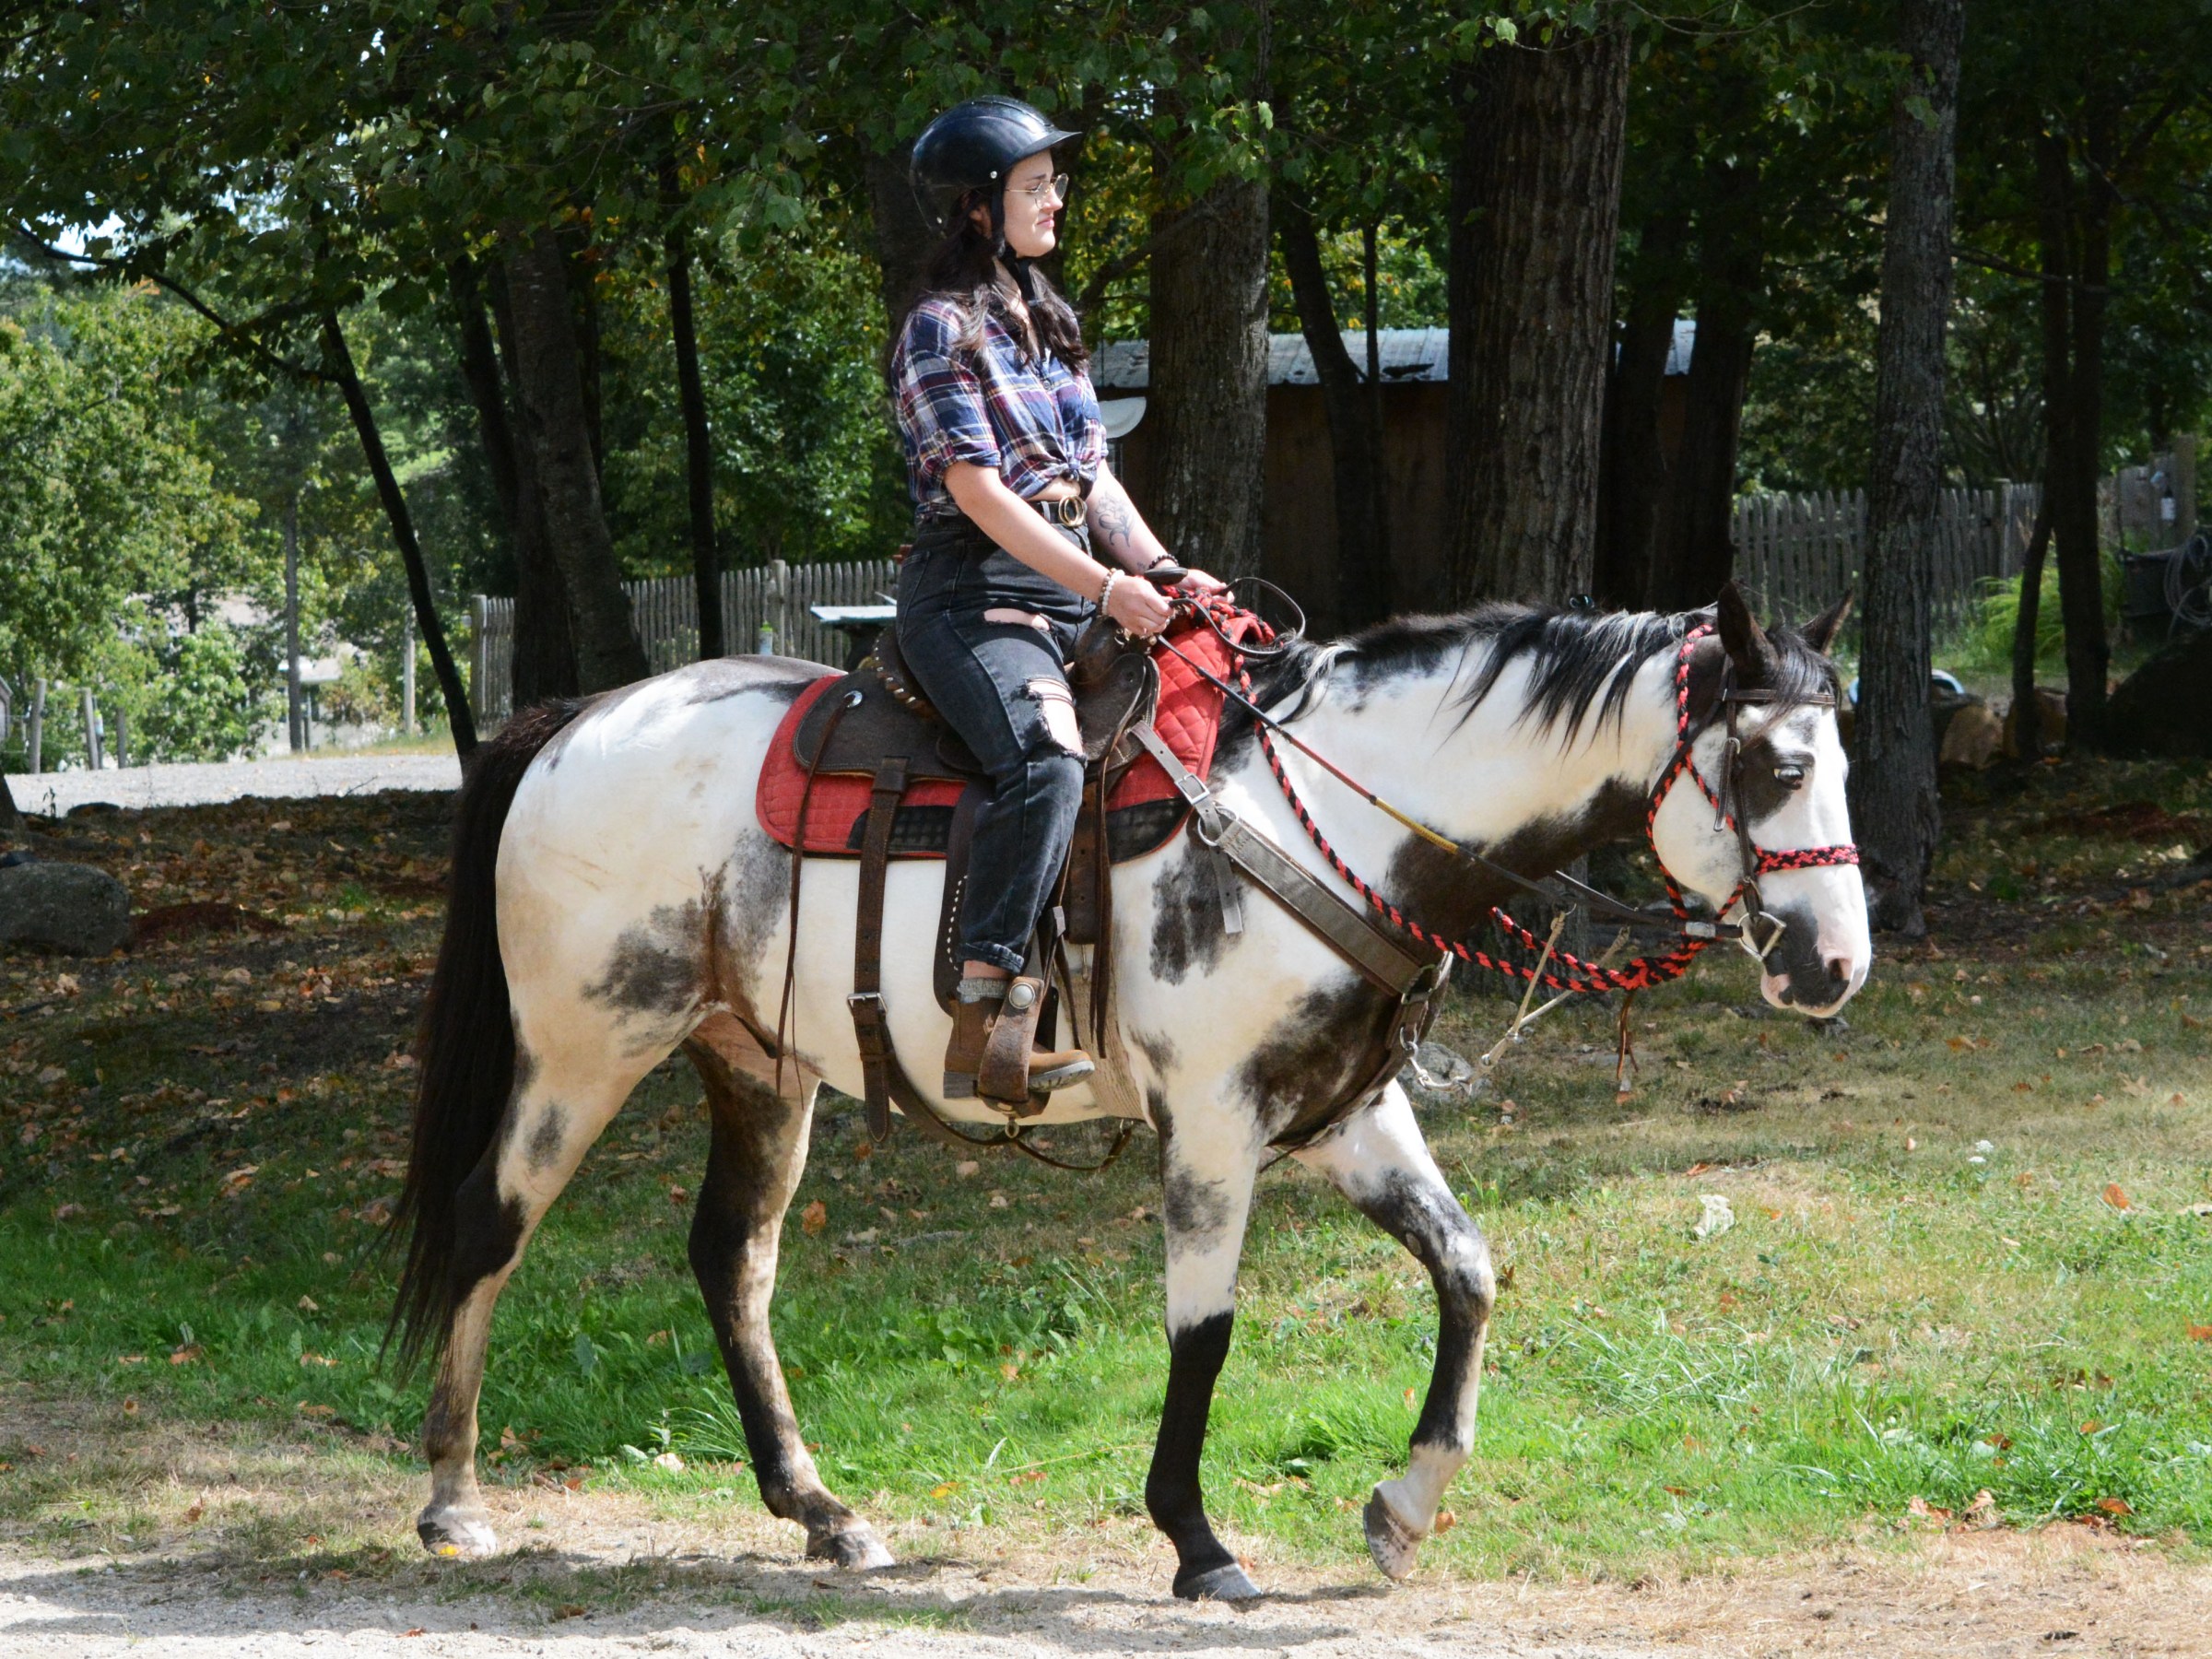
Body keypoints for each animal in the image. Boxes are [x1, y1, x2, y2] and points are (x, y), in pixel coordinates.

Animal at [388, 583, 1868, 1601]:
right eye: (1775, 766)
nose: (1835, 966)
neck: (1327, 812)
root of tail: (576, 718)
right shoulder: (1213, 1118)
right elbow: (1204, 1329)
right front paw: (1198, 1539)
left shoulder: (1347, 1114)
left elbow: (1468, 1271)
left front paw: (1403, 1507)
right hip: (583, 1048)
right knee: (486, 1225)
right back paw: (454, 1498)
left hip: (757, 1065)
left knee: (731, 1263)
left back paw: (821, 1512)